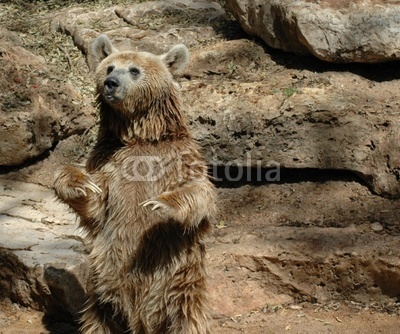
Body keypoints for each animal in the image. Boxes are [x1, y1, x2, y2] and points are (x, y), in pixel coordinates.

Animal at [54, 34, 216, 334]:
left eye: (134, 70)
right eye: (109, 67)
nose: (111, 83)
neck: (140, 136)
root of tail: (140, 318)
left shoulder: (177, 158)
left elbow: (200, 194)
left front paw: (160, 204)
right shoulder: (108, 162)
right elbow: (96, 205)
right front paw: (78, 184)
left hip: (179, 283)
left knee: (187, 319)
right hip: (102, 289)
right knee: (97, 320)